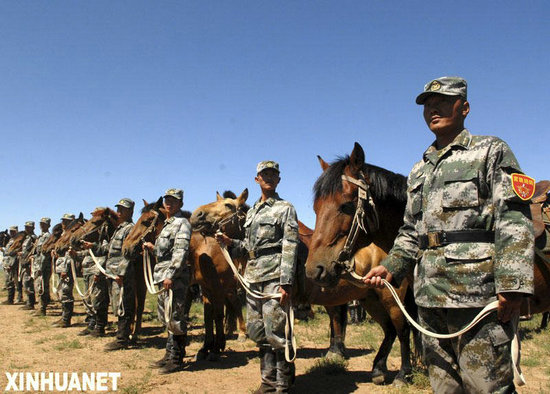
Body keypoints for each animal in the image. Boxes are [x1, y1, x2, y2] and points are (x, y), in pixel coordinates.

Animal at [304, 142, 416, 384]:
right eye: (316, 208)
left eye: (346, 205)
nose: (314, 269)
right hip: (371, 298)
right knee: (390, 330)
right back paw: (379, 368)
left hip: (392, 299)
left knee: (402, 329)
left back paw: (403, 374)